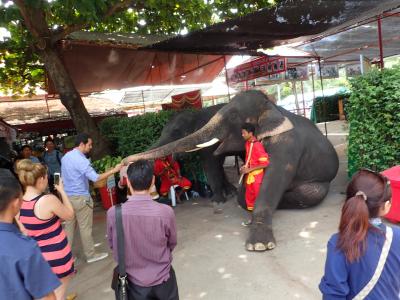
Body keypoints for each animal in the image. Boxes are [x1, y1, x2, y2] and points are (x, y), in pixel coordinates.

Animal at [124, 90, 338, 252]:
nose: (124, 165)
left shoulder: (287, 145)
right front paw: (227, 198)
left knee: (311, 193)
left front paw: (259, 244)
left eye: (234, 116)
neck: (273, 107)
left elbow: (271, 181)